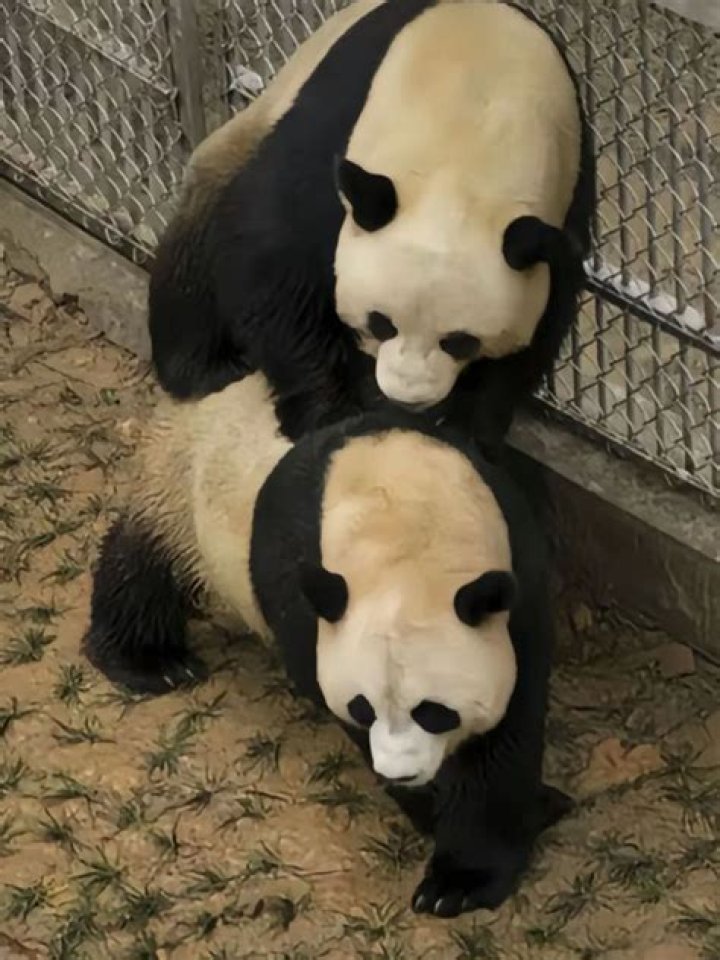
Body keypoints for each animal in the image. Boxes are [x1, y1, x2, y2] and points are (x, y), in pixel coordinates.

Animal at [83, 372, 570, 918]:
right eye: (363, 707)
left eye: (435, 711)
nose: (404, 774)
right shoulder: (305, 604)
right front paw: (443, 824)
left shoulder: (517, 574)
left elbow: (508, 727)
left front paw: (467, 872)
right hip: (184, 477)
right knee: (147, 556)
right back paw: (149, 660)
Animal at [149, 0, 595, 447]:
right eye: (380, 323)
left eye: (460, 342)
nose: (407, 396)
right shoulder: (341, 123)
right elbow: (276, 256)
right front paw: (328, 411)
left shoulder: (565, 196)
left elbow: (536, 332)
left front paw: (463, 426)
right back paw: (204, 367)